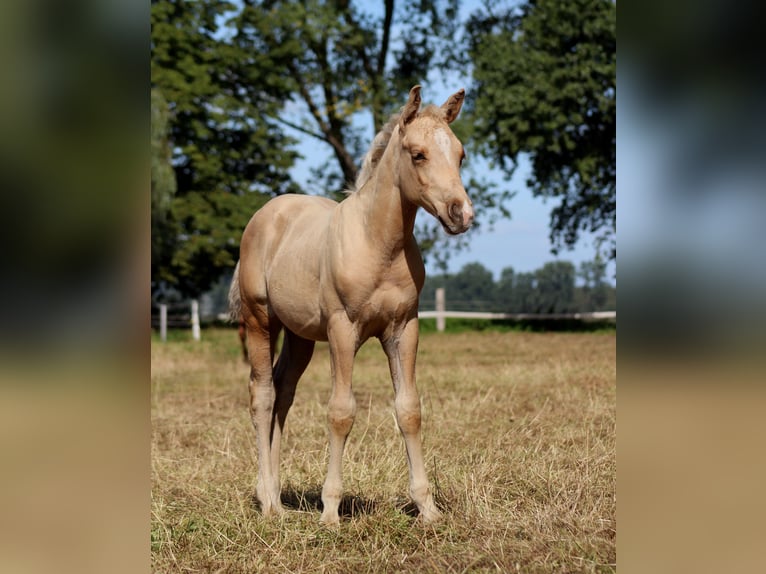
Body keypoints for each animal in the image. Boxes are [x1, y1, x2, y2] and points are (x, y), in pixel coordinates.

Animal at [228, 85, 473, 525]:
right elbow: (341, 411)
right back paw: (267, 502)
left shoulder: (404, 329)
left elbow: (409, 410)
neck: (378, 244)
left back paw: (279, 497)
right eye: (418, 154)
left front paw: (427, 508)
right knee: (263, 395)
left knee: (283, 393)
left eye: (460, 155)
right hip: (260, 320)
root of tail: (265, 215)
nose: (461, 213)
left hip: (300, 336)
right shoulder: (343, 329)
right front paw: (330, 511)